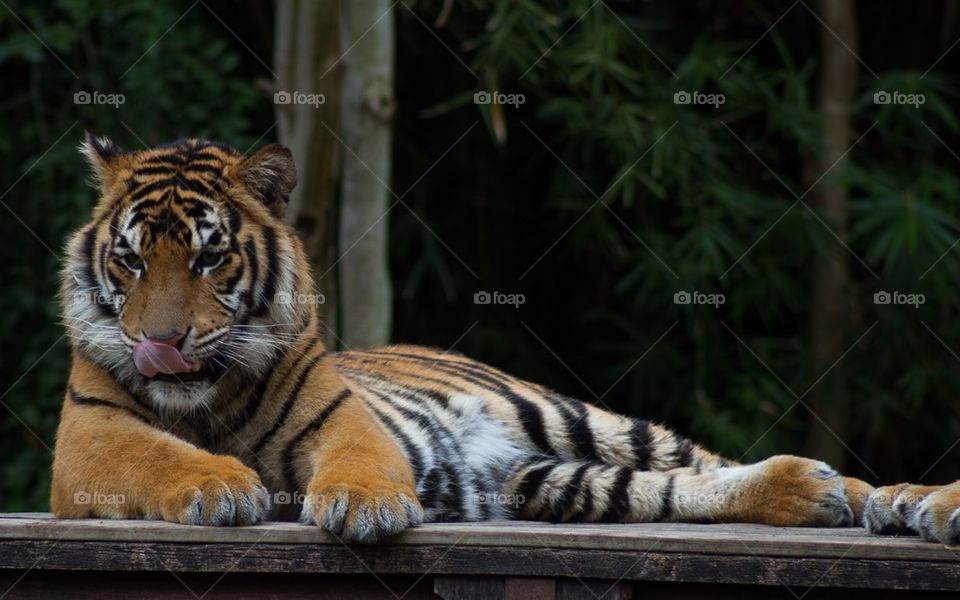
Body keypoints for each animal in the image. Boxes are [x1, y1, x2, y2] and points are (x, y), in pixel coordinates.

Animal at [52, 133, 876, 543]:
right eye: (131, 260)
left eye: (208, 258)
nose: (160, 342)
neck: (206, 399)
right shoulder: (87, 439)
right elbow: (154, 453)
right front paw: (221, 485)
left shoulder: (338, 414)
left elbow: (360, 455)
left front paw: (366, 507)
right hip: (550, 481)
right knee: (669, 490)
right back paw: (813, 493)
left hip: (571, 418)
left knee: (698, 460)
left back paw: (870, 498)